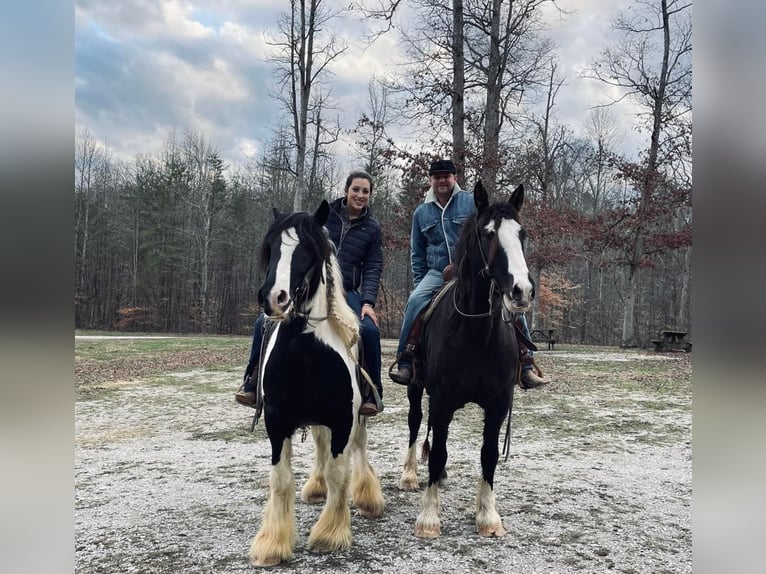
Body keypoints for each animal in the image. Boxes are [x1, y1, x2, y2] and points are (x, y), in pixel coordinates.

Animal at [249, 201, 384, 568]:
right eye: (271, 248)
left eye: (308, 250)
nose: (274, 299)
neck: (304, 352)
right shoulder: (277, 422)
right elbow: (281, 479)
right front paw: (273, 543)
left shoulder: (342, 420)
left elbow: (340, 472)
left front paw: (329, 534)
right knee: (322, 448)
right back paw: (317, 486)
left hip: (357, 419)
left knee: (358, 449)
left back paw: (367, 496)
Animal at [400, 183, 536, 540]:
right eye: (487, 234)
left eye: (522, 234)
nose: (521, 290)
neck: (477, 334)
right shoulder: (442, 400)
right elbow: (437, 452)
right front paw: (429, 518)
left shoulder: (498, 404)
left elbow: (488, 454)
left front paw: (488, 516)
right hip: (416, 389)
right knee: (416, 423)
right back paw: (409, 475)